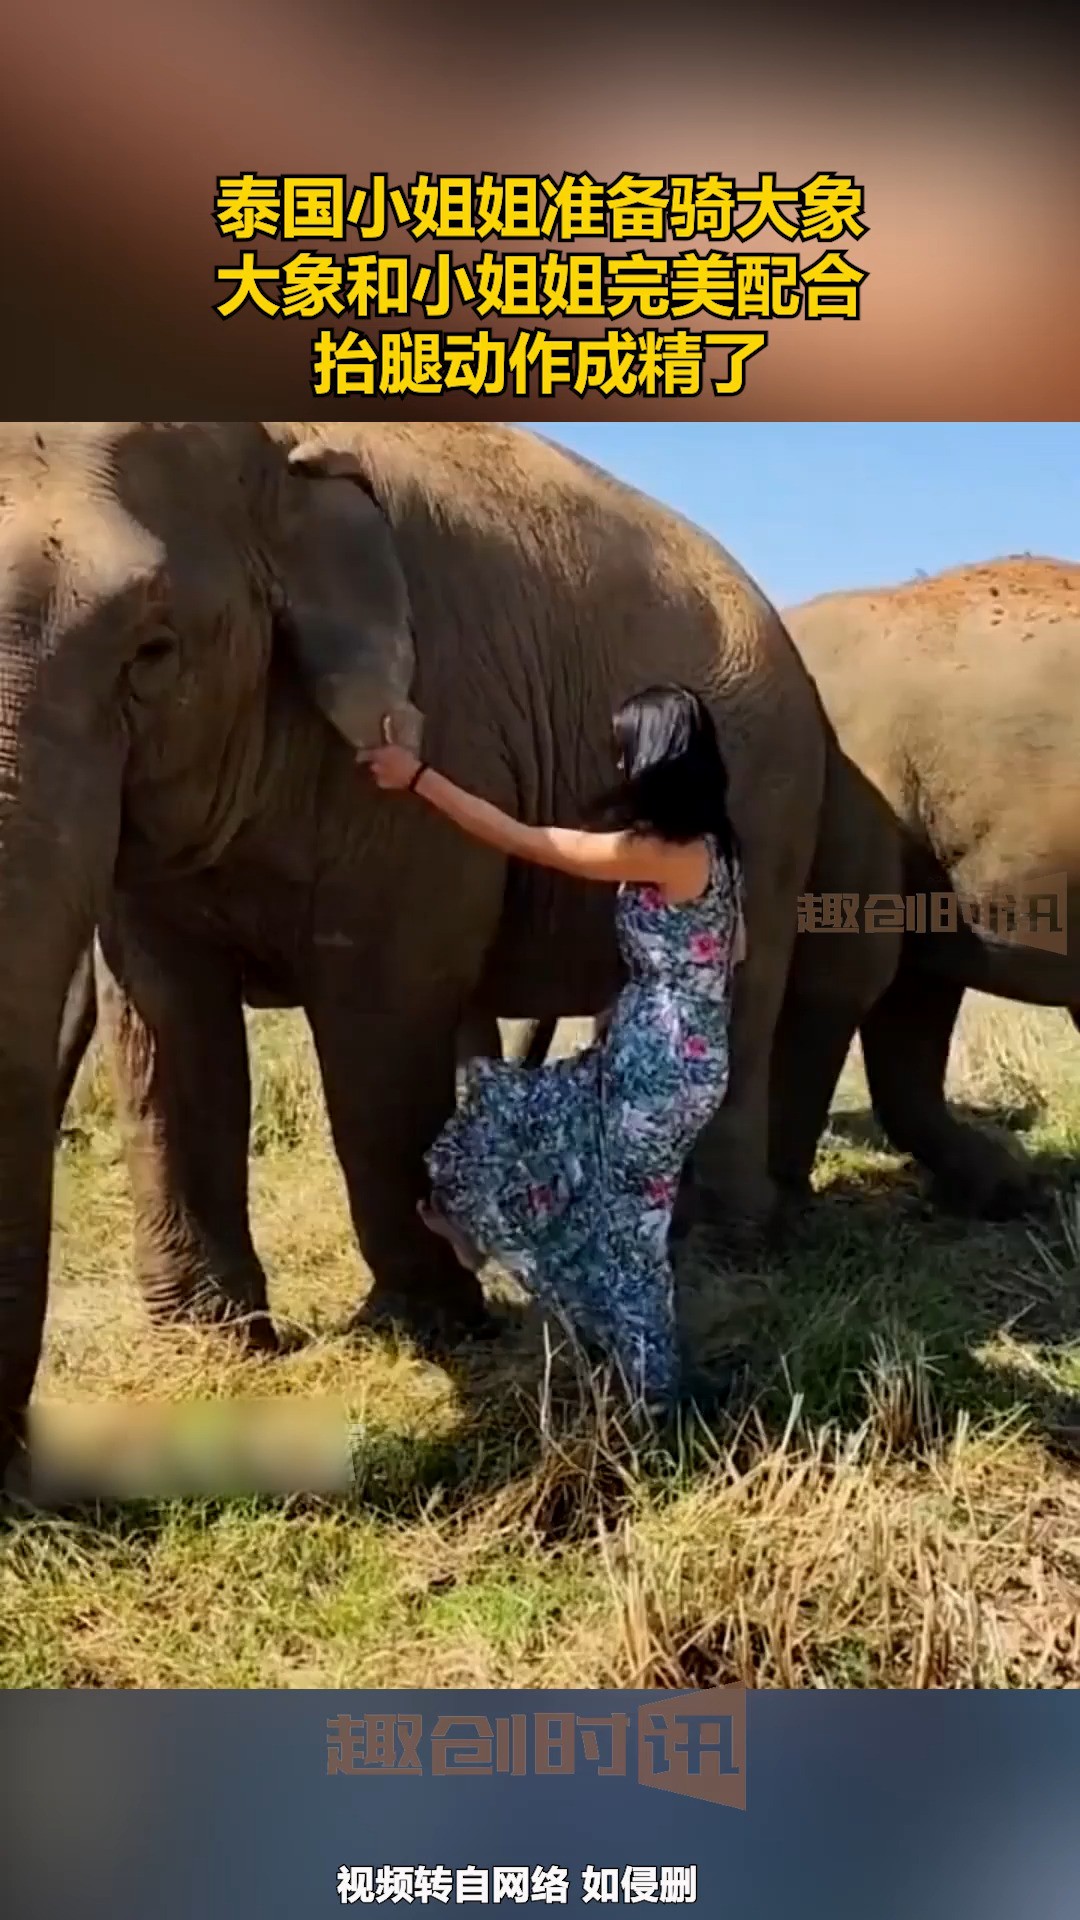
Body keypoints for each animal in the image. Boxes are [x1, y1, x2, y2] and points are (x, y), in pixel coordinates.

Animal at [0, 420, 834, 1466]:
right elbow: (165, 1030)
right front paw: (214, 1347)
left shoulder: (439, 735)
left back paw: (717, 1247)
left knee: (746, 1003)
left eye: (151, 649)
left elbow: (382, 1017)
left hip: (773, 795)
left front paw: (428, 1323)